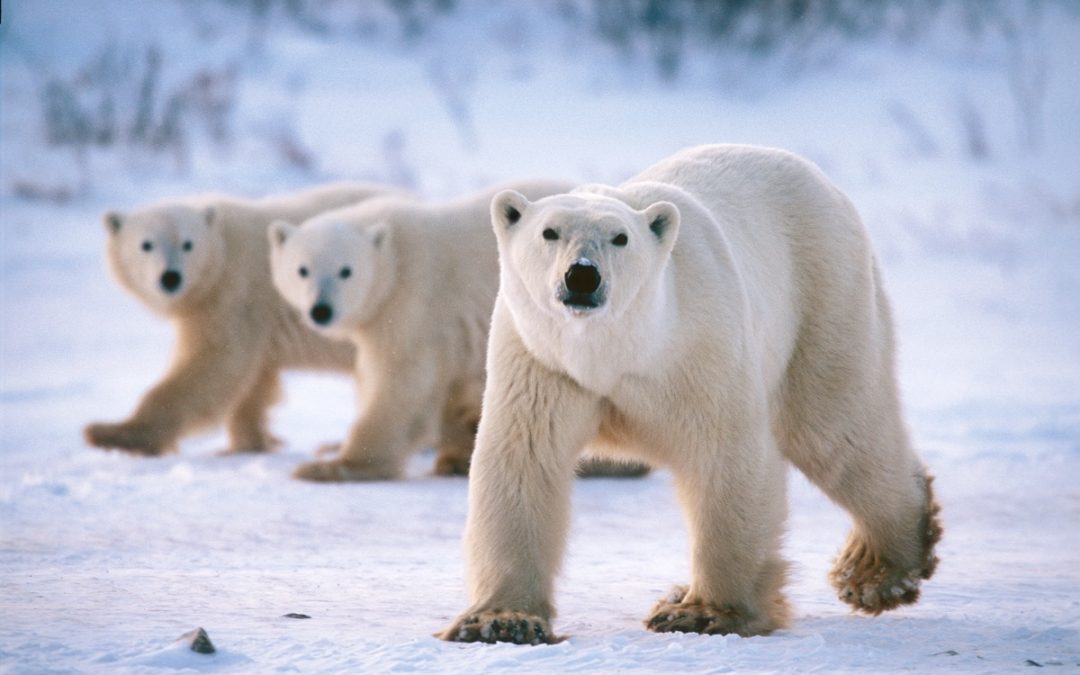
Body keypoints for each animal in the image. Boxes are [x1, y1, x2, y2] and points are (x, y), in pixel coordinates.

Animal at [84, 182, 400, 456]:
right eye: (146, 244)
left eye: (188, 244)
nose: (170, 277)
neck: (223, 249)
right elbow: (253, 380)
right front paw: (248, 443)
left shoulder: (234, 294)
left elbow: (213, 364)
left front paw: (110, 433)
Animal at [267, 179, 581, 482]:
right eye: (302, 270)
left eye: (346, 271)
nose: (321, 310)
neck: (392, 256)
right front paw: (455, 458)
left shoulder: (414, 302)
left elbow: (401, 380)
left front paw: (332, 467)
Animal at [440, 144, 943, 644]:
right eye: (549, 232)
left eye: (620, 238)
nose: (582, 276)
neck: (617, 350)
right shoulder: (541, 361)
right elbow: (523, 460)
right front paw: (501, 620)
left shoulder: (698, 347)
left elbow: (724, 456)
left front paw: (704, 613)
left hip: (823, 294)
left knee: (832, 429)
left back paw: (877, 570)